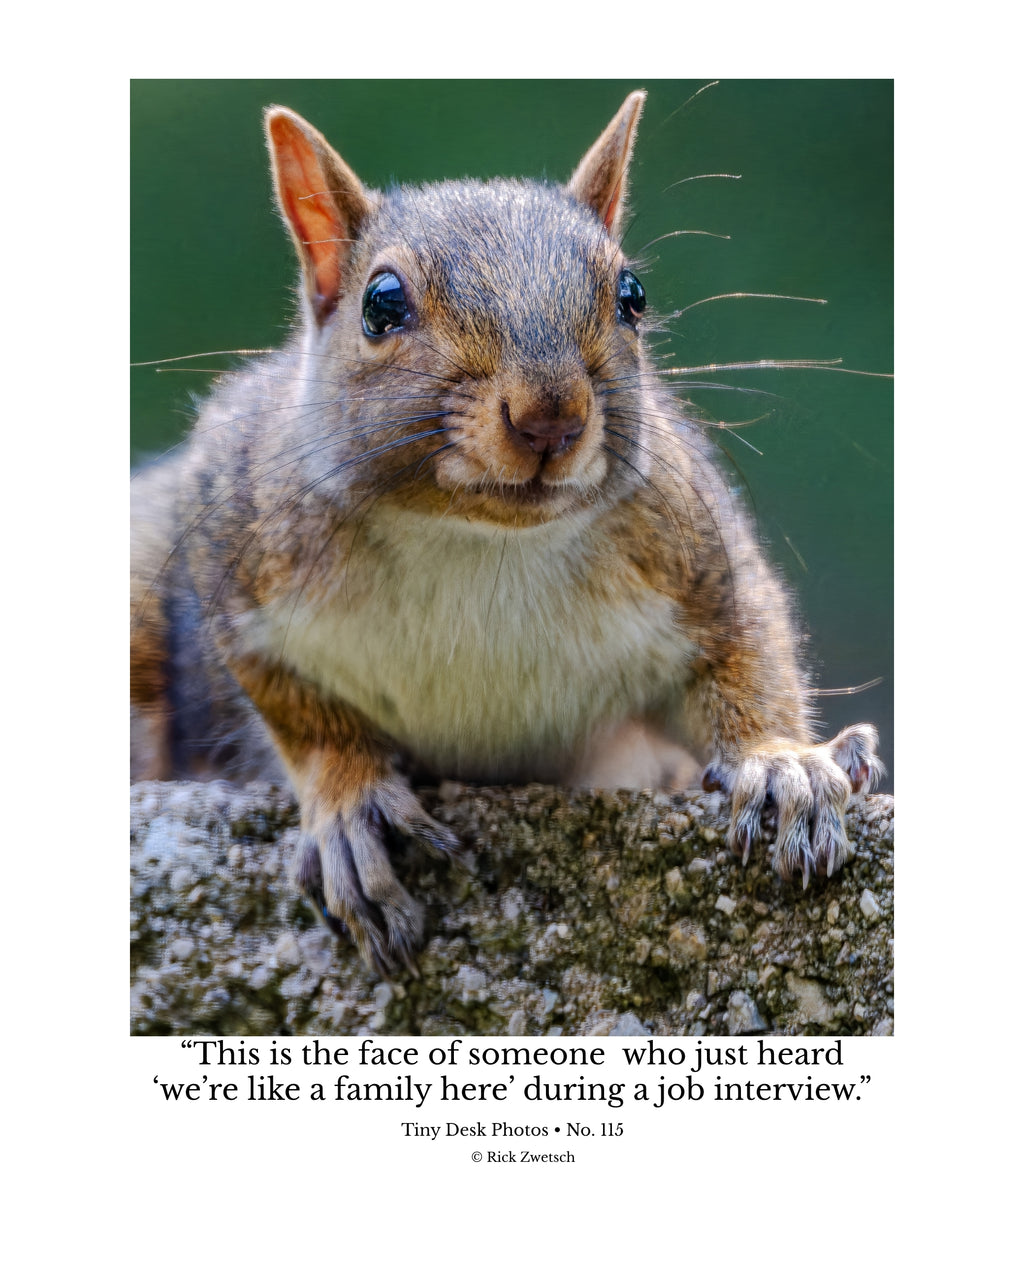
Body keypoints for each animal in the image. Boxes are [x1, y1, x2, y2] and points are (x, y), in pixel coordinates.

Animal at [130, 90, 882, 974]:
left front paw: (781, 761)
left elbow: (748, 651)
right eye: (380, 304)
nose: (550, 414)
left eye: (632, 294)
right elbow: (297, 713)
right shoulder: (236, 562)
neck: (477, 540)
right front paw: (349, 803)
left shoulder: (696, 557)